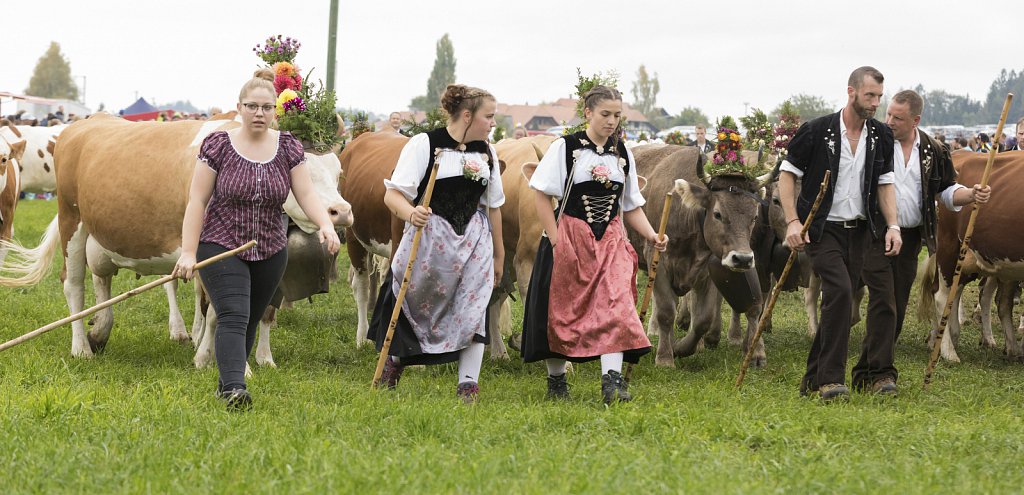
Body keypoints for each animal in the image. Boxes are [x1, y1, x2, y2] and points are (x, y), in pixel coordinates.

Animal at [0, 114, 352, 358]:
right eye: (303, 172)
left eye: (338, 173)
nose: (342, 211)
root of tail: (85, 124)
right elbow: (217, 308)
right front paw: (207, 356)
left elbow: (249, 307)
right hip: (71, 219)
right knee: (73, 284)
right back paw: (81, 348)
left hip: (101, 231)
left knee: (102, 278)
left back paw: (100, 330)